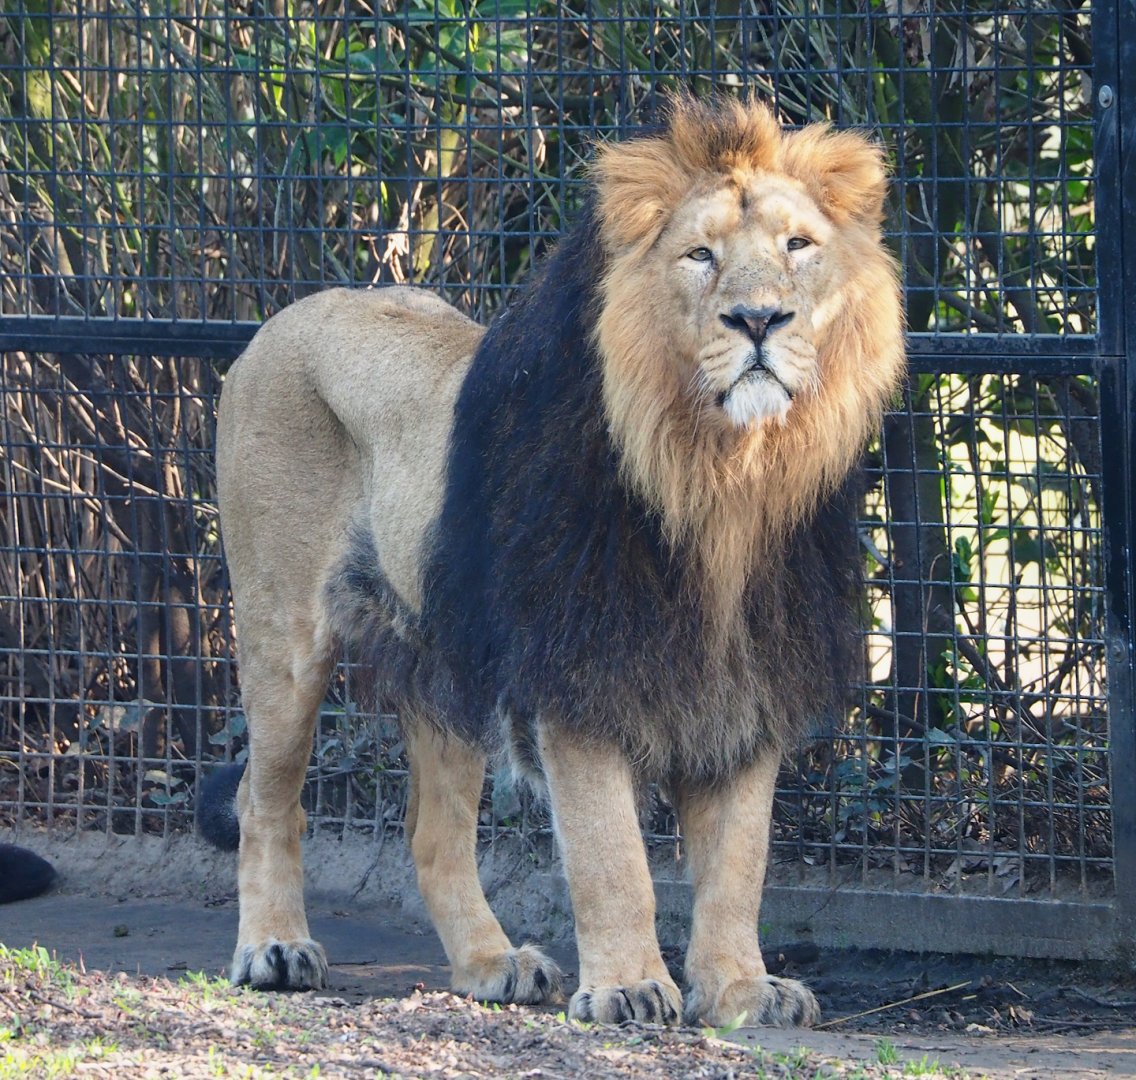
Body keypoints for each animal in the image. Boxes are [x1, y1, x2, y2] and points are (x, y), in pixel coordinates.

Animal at [201, 95, 905, 1027]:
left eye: (799, 246)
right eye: (700, 255)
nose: (759, 320)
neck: (721, 482)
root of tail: (282, 319)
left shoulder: (749, 682)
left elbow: (738, 865)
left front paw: (741, 990)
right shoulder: (574, 670)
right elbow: (613, 856)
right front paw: (631, 986)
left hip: (445, 655)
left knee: (433, 833)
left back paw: (494, 965)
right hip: (283, 636)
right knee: (266, 799)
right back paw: (275, 949)